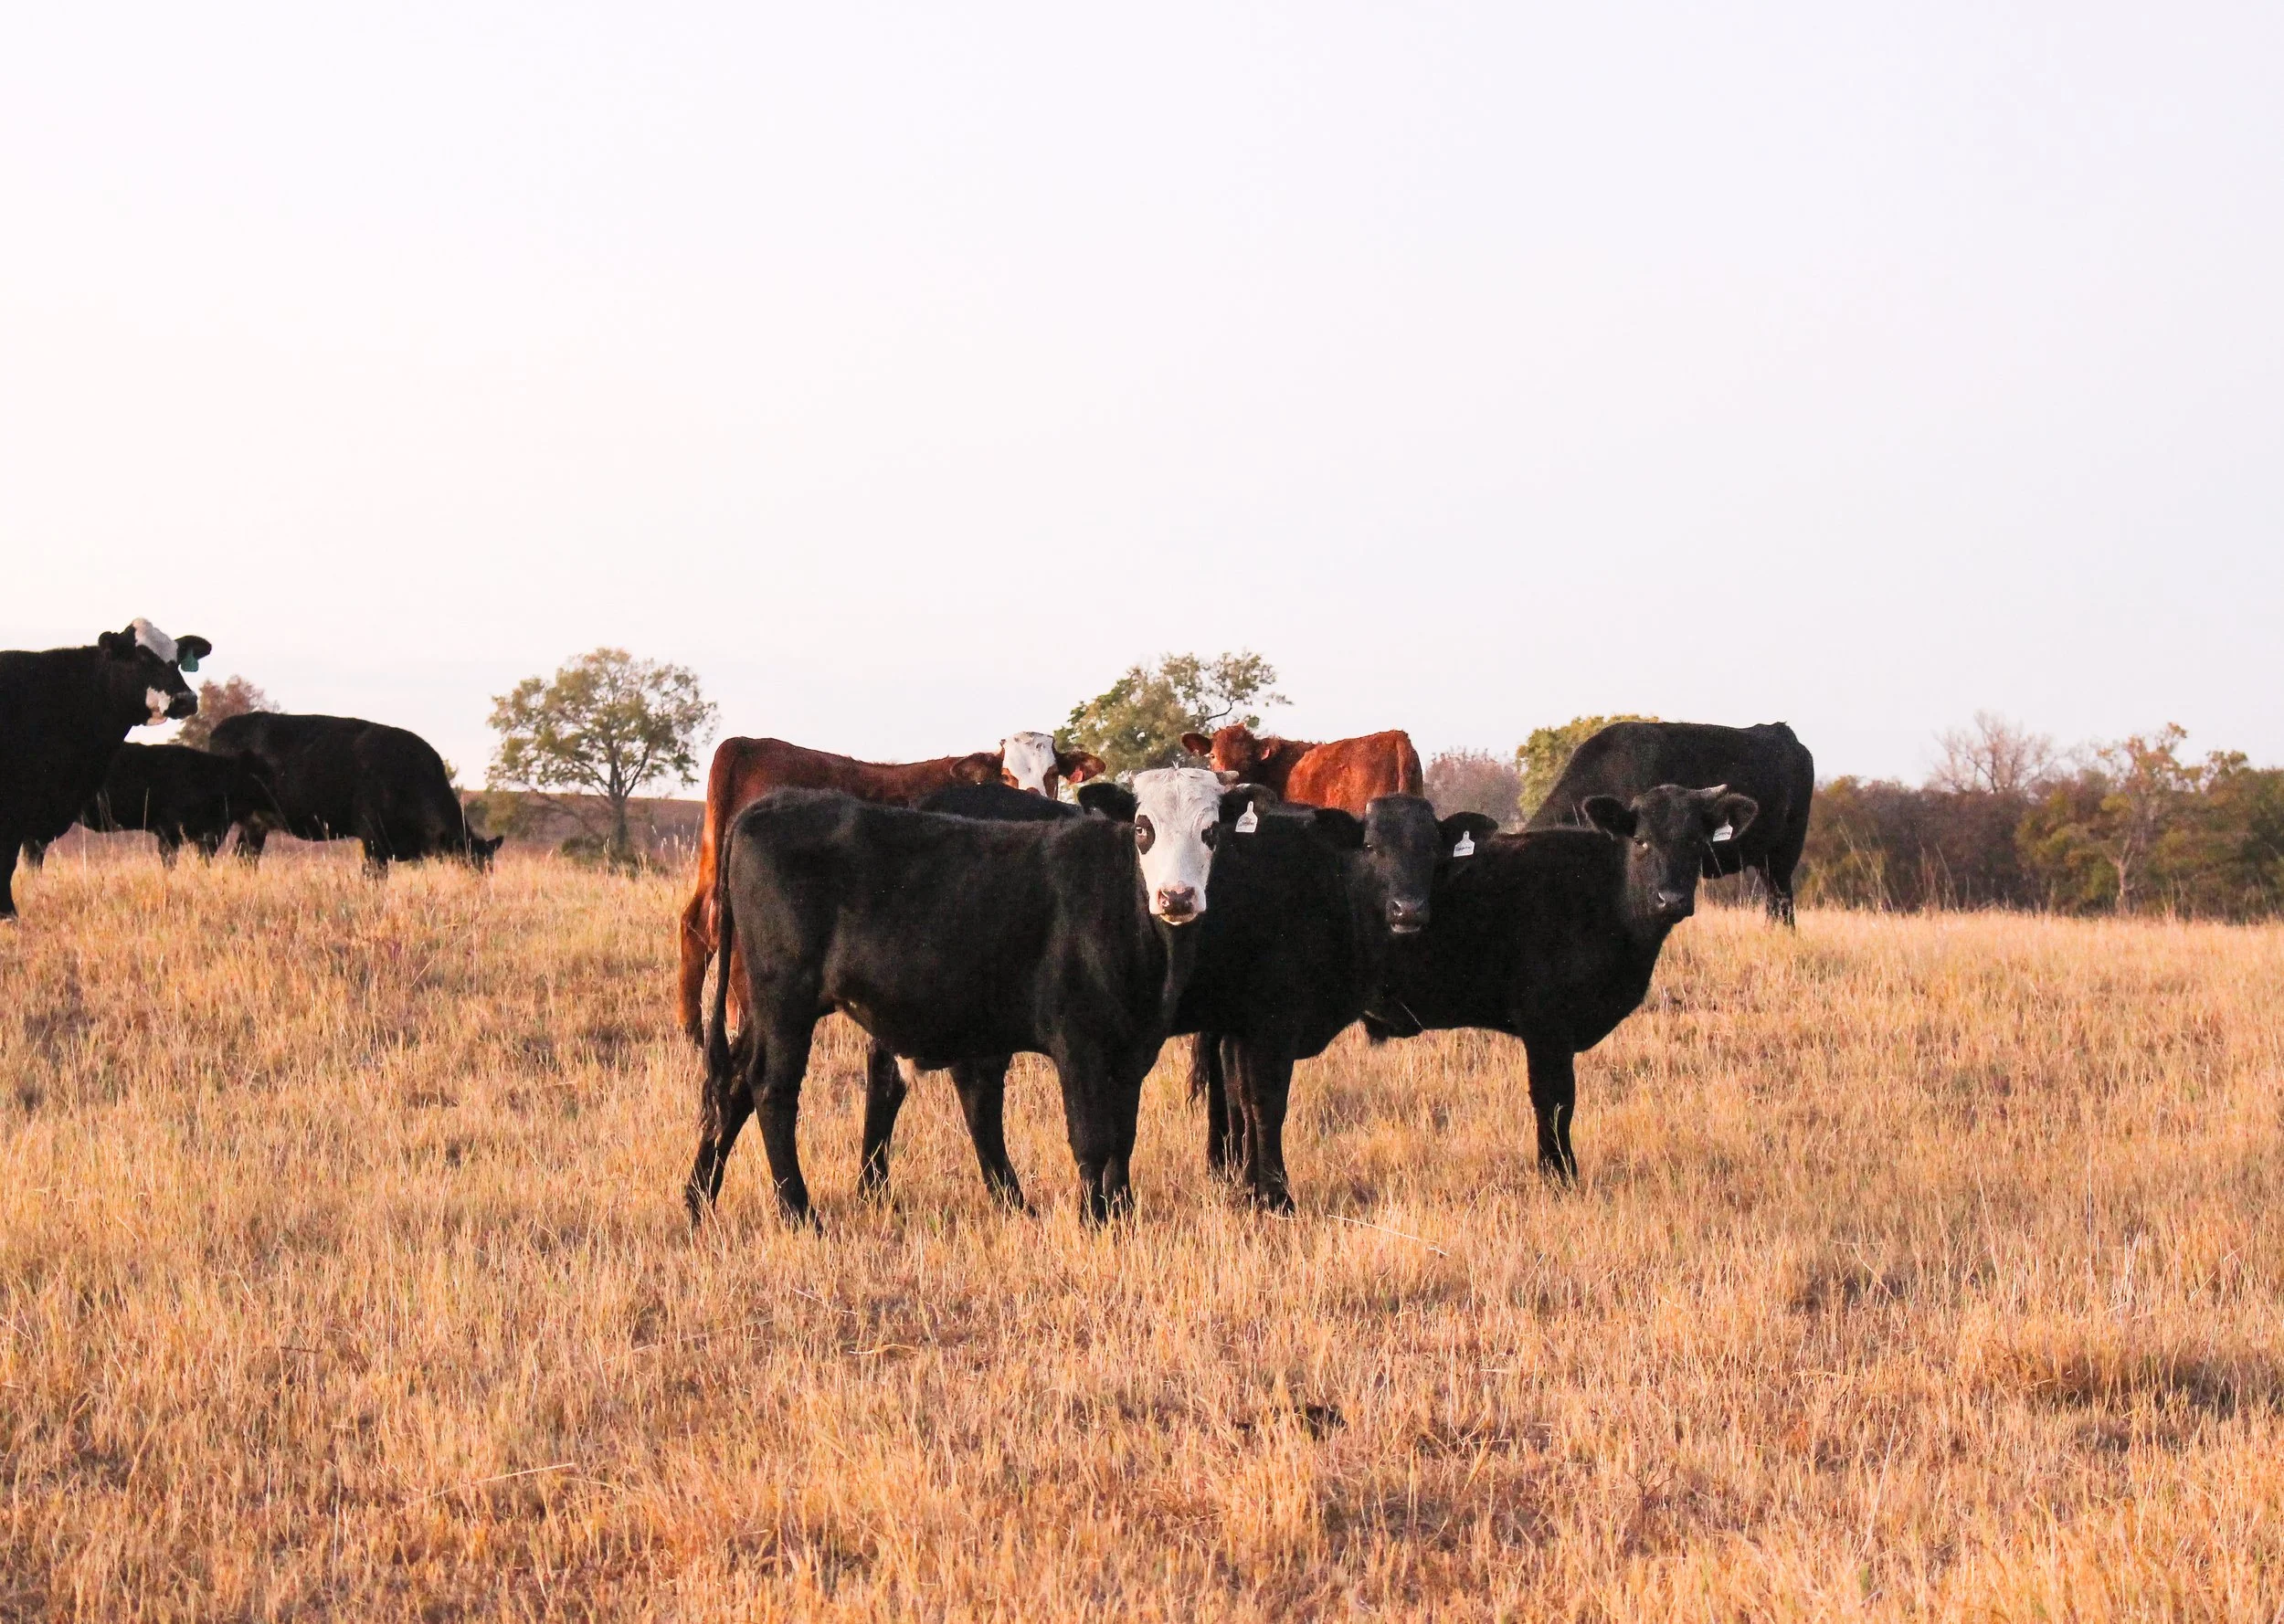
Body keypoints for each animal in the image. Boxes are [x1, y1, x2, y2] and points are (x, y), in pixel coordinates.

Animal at [212, 712, 501, 872]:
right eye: (466, 864)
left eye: (489, 869)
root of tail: (221, 728)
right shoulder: (373, 840)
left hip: (254, 824)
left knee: (244, 857)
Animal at [690, 768, 1228, 1227]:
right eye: (1142, 828)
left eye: (1211, 832)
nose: (1177, 896)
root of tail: (771, 805)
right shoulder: (1079, 1045)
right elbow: (1092, 1139)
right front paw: (1094, 1221)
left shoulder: (1131, 1048)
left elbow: (1122, 1139)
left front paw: (1122, 1213)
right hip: (786, 1001)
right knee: (771, 1088)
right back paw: (800, 1214)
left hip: (767, 1009)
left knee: (734, 1083)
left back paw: (698, 1200)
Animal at [1365, 783, 1758, 1181]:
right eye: (1641, 840)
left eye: (1695, 841)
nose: (1671, 900)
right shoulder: (1545, 1023)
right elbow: (1554, 1100)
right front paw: (1559, 1174)